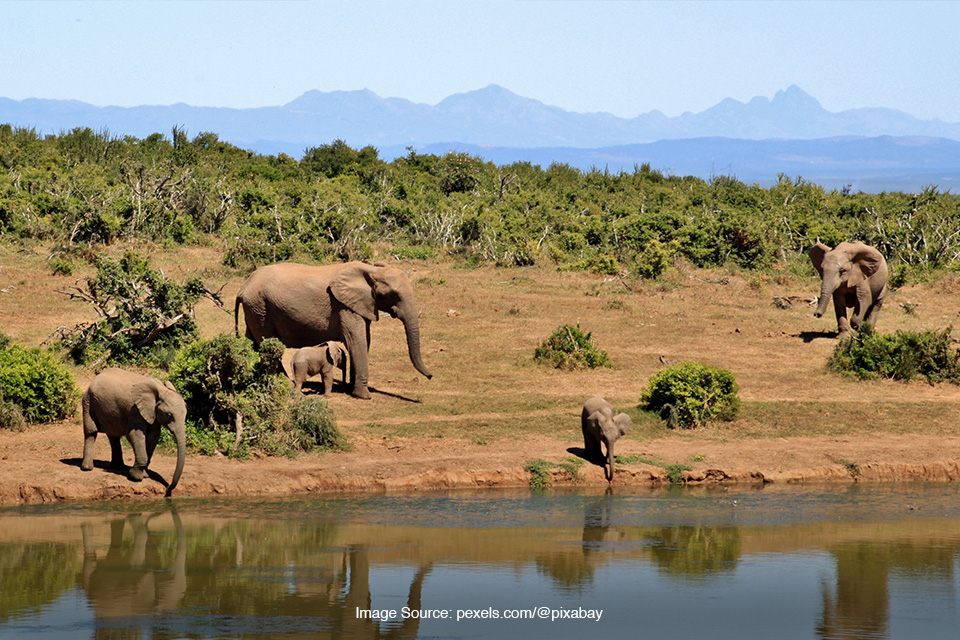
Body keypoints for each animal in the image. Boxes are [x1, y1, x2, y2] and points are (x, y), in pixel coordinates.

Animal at [236, 262, 436, 398]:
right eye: (393, 295)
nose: (430, 376)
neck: (371, 270)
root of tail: (243, 286)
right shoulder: (344, 306)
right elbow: (356, 340)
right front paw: (363, 396)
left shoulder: (361, 305)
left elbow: (364, 340)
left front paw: (353, 389)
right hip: (260, 307)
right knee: (268, 344)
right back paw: (285, 384)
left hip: (255, 310)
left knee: (253, 343)